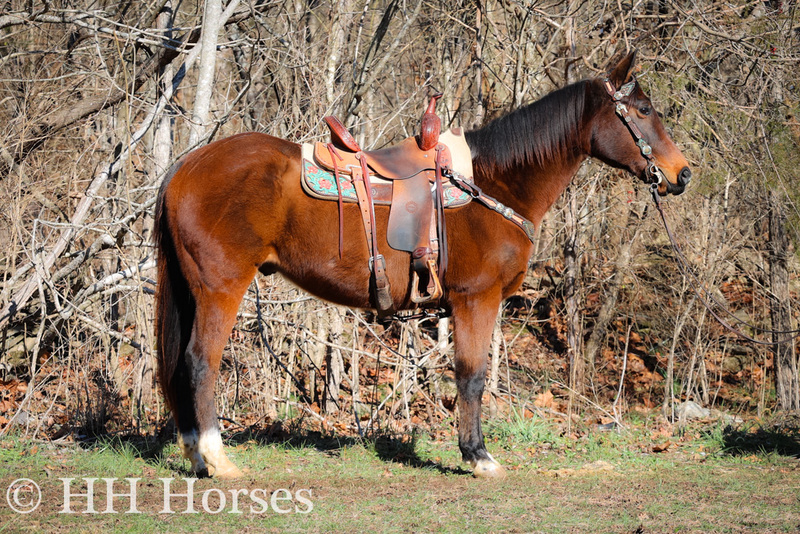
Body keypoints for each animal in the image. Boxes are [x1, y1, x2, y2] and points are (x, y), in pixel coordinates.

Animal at [153, 53, 692, 482]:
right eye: (643, 111)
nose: (682, 173)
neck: (493, 183)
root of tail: (186, 167)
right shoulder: (477, 299)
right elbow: (472, 376)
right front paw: (478, 456)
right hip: (221, 286)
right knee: (200, 362)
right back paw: (217, 458)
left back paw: (195, 456)